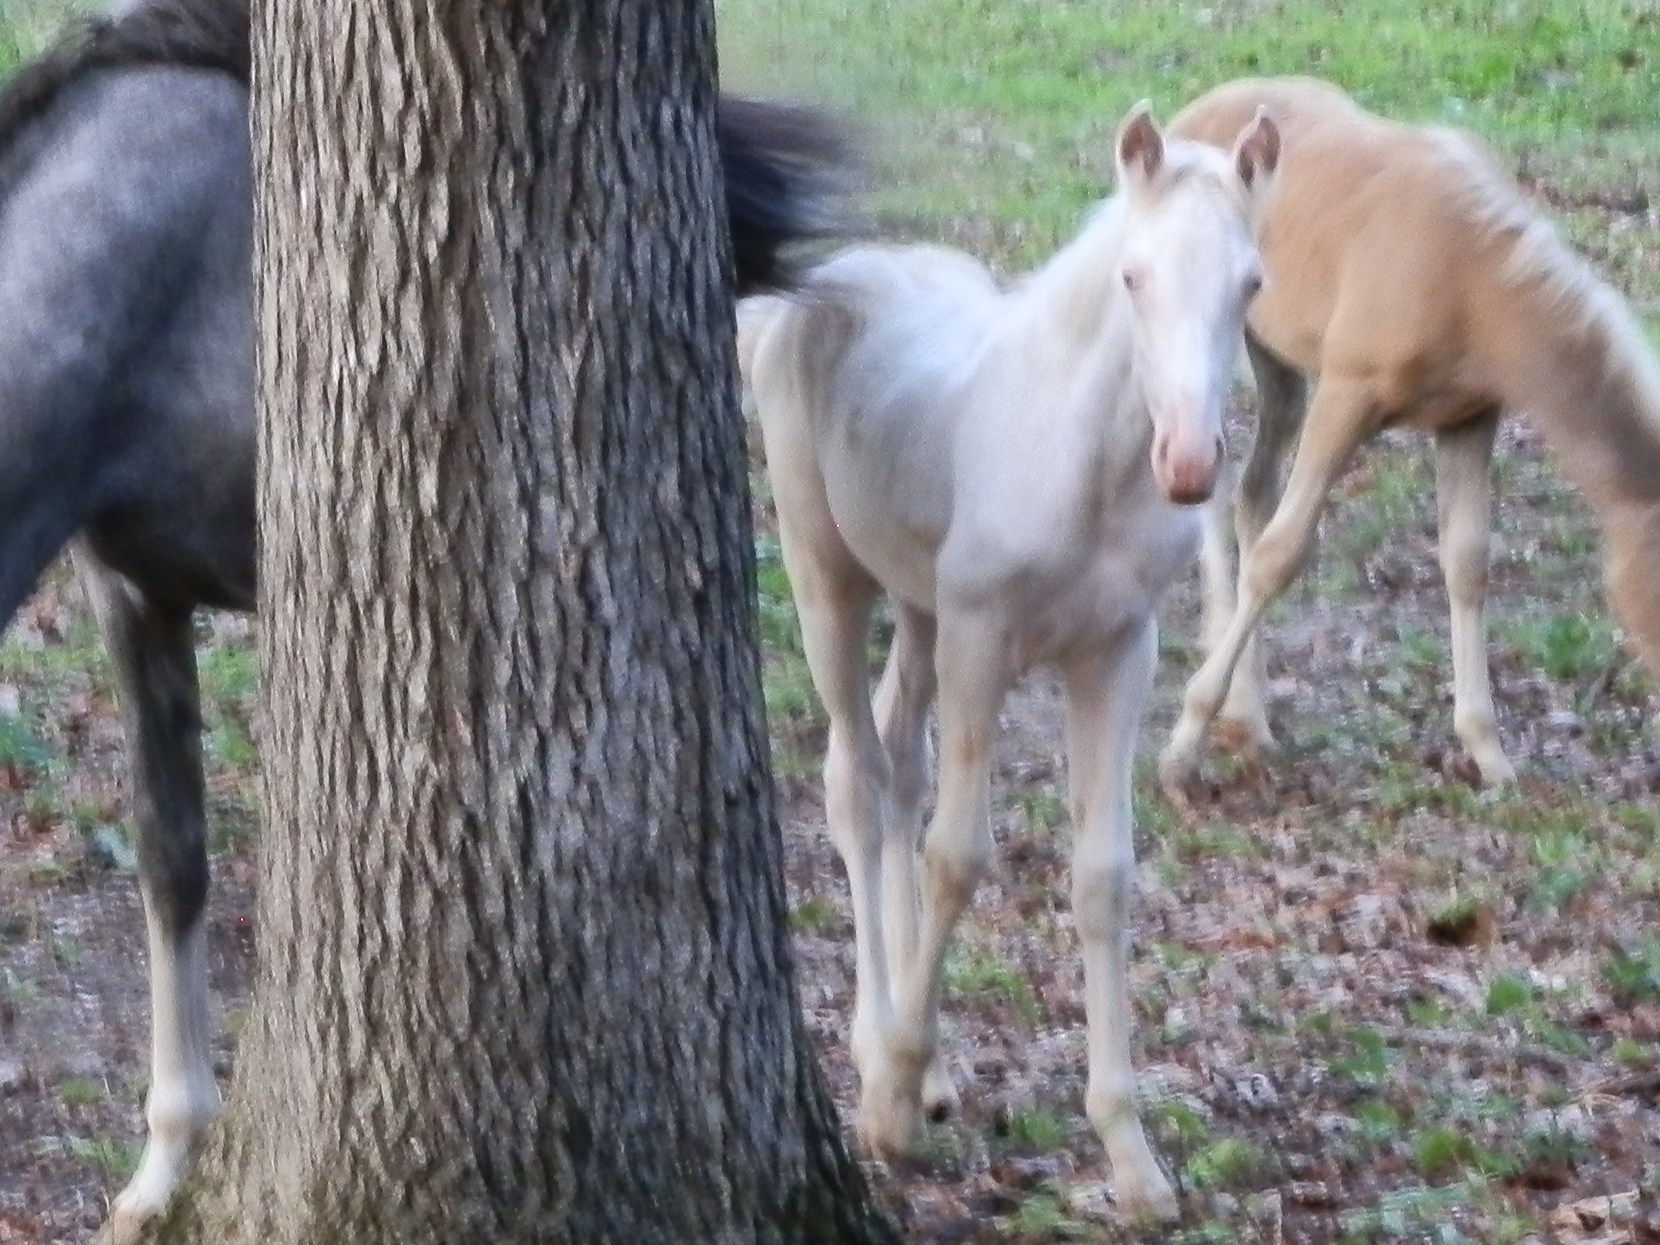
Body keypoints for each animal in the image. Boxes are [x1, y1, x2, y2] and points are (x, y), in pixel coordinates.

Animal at [739, 102, 1280, 1217]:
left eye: (1250, 283)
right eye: (1133, 276)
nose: (1189, 463)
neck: (1083, 462)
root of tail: (839, 272)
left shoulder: (1117, 651)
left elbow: (1103, 874)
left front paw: (1129, 1154)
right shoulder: (984, 638)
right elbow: (958, 854)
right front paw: (892, 1109)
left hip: (919, 607)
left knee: (899, 761)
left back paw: (930, 1056)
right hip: (829, 574)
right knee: (858, 778)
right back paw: (885, 1049)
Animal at [1161, 76, 1660, 799]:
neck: (1468, 274)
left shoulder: (1468, 417)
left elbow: (1467, 562)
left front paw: (1488, 753)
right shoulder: (1347, 394)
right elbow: (1281, 554)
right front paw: (1181, 747)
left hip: (1279, 362)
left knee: (1252, 490)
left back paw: (1251, 719)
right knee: (1212, 485)